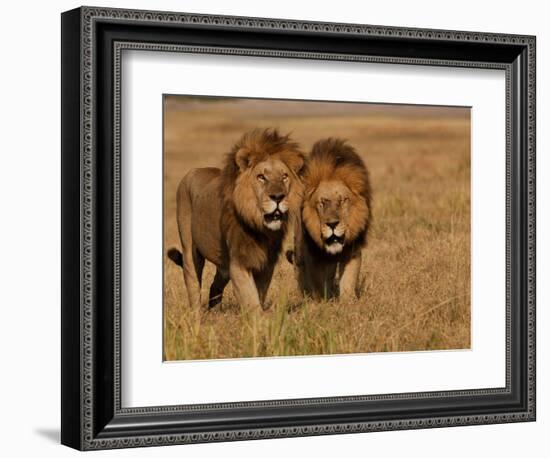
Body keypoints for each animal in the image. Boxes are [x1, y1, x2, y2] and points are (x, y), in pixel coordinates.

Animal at [168, 129, 306, 312]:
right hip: (190, 249)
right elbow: (251, 300)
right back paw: (197, 314)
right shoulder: (238, 263)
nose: (278, 197)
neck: (260, 228)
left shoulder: (266, 264)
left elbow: (259, 295)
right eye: (261, 177)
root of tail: (195, 170)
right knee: (193, 284)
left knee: (215, 286)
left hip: (223, 264)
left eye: (284, 177)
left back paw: (215, 312)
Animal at [288, 140, 376, 302]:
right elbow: (317, 281)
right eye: (322, 202)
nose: (332, 224)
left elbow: (349, 279)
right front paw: (321, 302)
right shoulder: (314, 254)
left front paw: (348, 302)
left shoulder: (352, 250)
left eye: (342, 200)